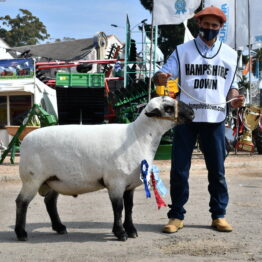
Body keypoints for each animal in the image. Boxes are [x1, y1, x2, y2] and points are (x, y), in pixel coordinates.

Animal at [14, 96, 194, 242]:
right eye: (168, 108)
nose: (192, 112)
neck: (138, 137)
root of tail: (25, 140)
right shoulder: (116, 182)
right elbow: (119, 208)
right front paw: (120, 233)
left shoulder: (129, 184)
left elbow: (129, 207)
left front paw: (131, 230)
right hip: (32, 179)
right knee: (22, 202)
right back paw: (21, 233)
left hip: (53, 179)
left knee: (50, 202)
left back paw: (59, 227)